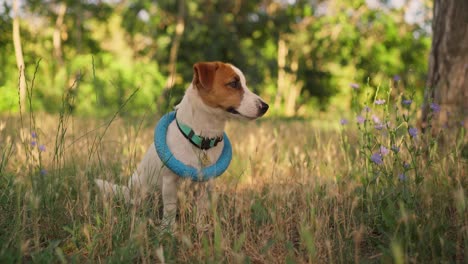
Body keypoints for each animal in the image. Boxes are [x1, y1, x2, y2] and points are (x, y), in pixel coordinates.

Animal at [96, 61, 266, 227]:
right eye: (233, 83)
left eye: (244, 83)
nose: (265, 106)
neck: (201, 139)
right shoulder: (169, 181)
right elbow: (171, 208)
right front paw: (168, 230)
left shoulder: (205, 185)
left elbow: (201, 209)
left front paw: (200, 228)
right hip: (139, 187)